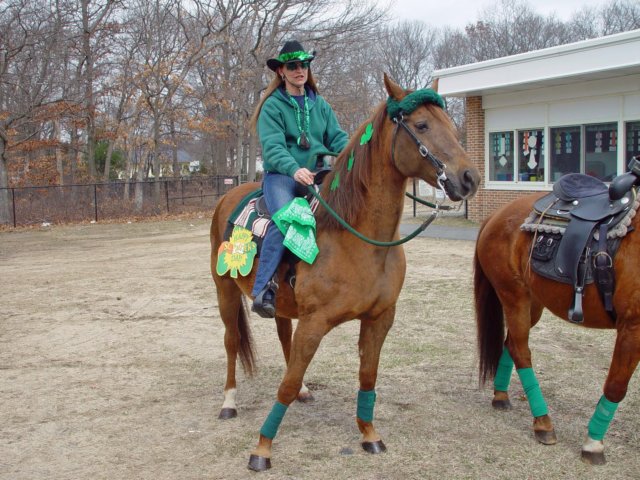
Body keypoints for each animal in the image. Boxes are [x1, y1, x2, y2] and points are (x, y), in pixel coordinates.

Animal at [210, 73, 480, 470]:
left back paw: (304, 391)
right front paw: (262, 448)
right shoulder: (314, 322)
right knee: (232, 342)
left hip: (281, 306)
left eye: (449, 123)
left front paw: (370, 435)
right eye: (421, 125)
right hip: (225, 291)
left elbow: (367, 377)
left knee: (282, 337)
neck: (355, 239)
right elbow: (285, 385)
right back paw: (228, 402)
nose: (469, 178)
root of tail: (229, 197)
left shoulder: (380, 318)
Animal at [472, 185, 640, 464]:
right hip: (513, 296)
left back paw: (501, 396)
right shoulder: (632, 326)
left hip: (533, 304)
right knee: (520, 351)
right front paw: (593, 444)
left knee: (510, 344)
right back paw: (543, 422)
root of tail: (496, 215)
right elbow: (616, 386)